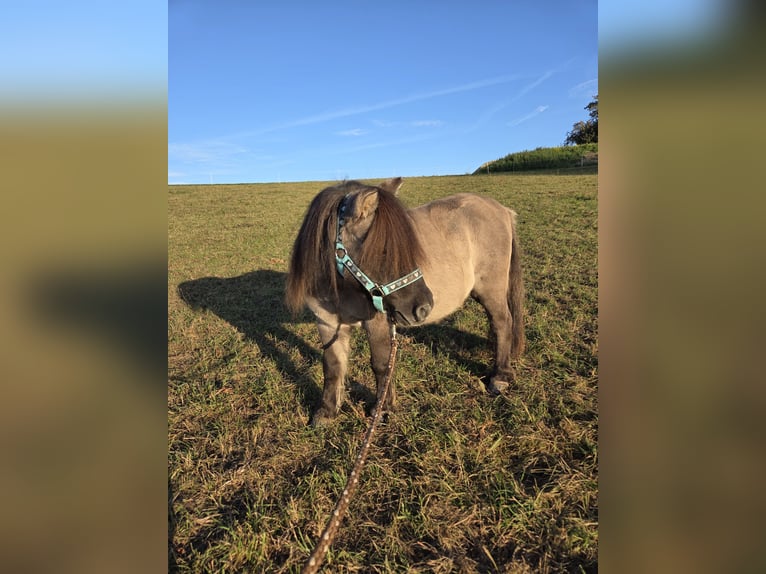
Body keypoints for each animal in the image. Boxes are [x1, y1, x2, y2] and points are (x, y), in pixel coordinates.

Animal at [286, 177, 525, 426]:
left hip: (491, 289)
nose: (424, 308)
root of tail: (501, 209)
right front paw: (326, 412)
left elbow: (381, 364)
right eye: (384, 251)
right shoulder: (327, 323)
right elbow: (332, 366)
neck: (342, 287)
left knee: (502, 323)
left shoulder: (378, 322)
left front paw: (383, 409)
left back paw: (500, 376)